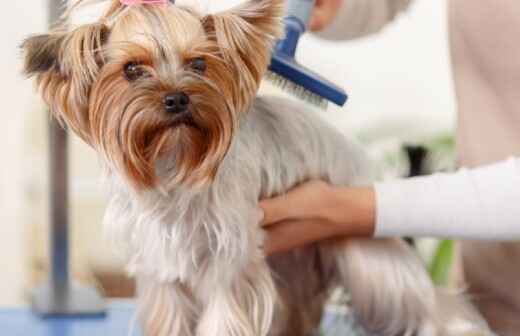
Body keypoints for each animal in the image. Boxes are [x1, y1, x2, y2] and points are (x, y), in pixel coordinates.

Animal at [23, 0, 496, 334]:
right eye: (131, 69)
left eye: (199, 63)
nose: (177, 98)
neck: (173, 161)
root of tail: (359, 157)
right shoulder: (161, 267)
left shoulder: (230, 260)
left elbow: (224, 316)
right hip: (293, 261)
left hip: (368, 257)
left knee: (426, 301)